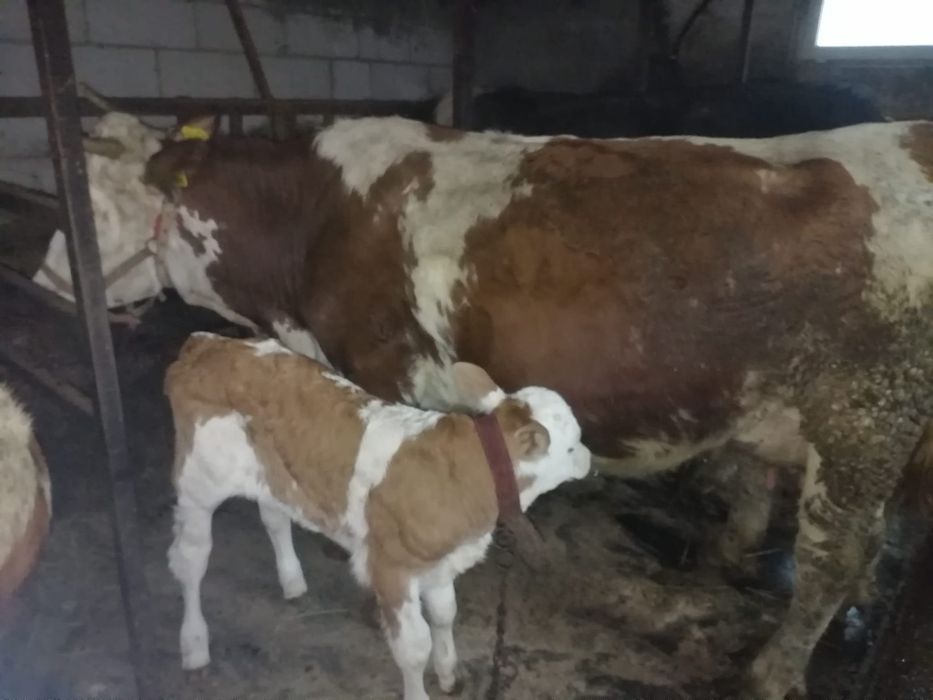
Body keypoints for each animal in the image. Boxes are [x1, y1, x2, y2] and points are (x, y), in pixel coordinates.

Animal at [165, 332, 590, 700]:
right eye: (571, 446)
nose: (588, 458)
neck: (469, 472)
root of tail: (206, 344)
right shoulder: (392, 570)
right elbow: (414, 648)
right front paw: (419, 691)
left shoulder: (438, 563)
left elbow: (444, 615)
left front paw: (449, 673)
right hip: (198, 482)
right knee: (190, 561)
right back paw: (194, 644)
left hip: (273, 477)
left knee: (274, 518)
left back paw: (291, 579)